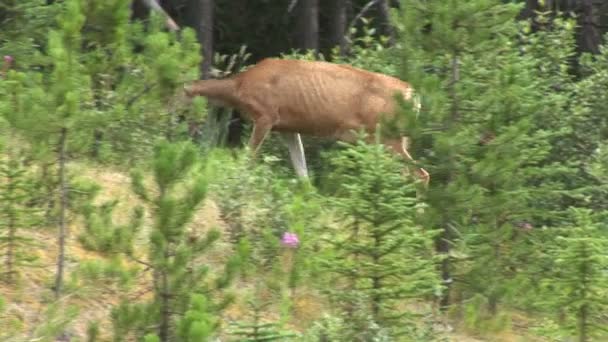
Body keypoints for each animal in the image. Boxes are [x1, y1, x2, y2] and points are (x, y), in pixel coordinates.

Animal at [183, 57, 430, 186]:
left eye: (180, 96)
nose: (189, 126)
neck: (239, 88)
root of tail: (414, 94)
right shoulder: (288, 127)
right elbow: (303, 174)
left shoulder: (266, 115)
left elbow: (249, 157)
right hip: (396, 138)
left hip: (387, 135)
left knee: (420, 174)